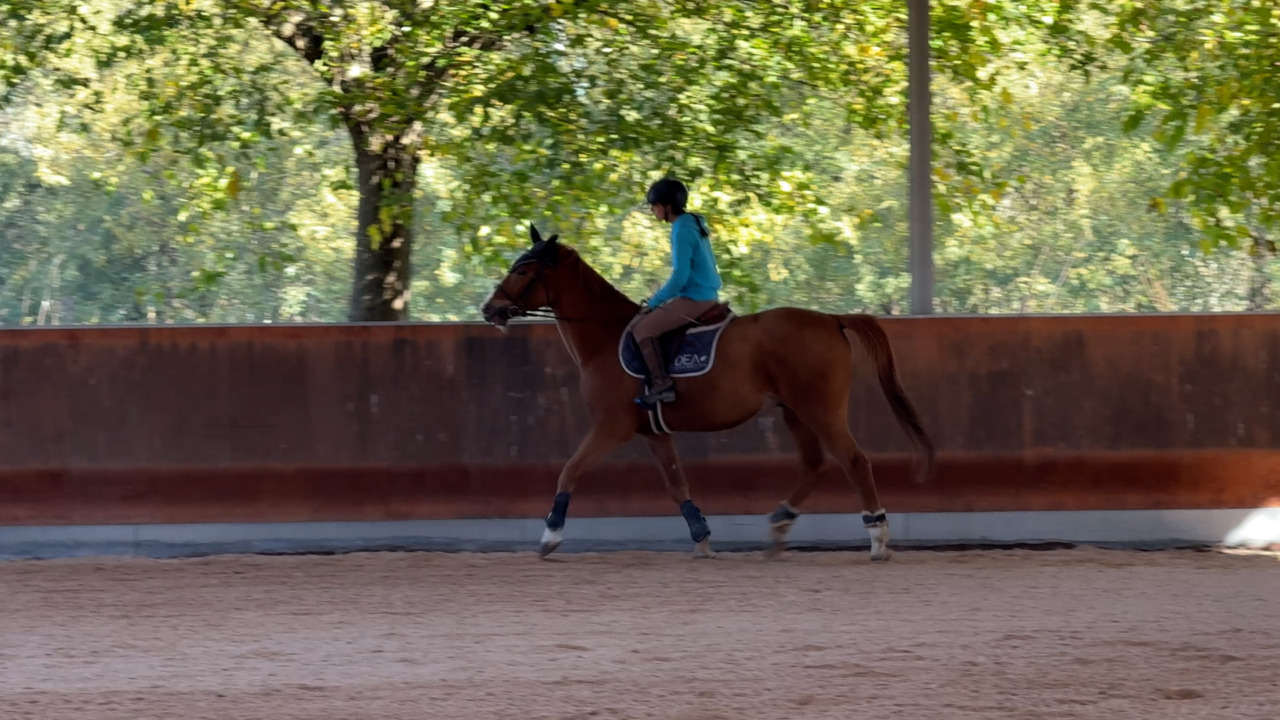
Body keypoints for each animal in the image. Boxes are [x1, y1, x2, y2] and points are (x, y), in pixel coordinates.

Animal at [480, 224, 935, 562]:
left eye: (523, 271)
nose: (489, 310)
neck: (605, 338)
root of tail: (830, 319)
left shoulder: (611, 427)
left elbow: (570, 470)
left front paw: (549, 537)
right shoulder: (653, 432)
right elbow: (677, 484)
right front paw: (701, 537)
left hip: (819, 408)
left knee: (854, 461)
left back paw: (878, 538)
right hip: (794, 410)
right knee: (814, 463)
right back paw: (778, 526)